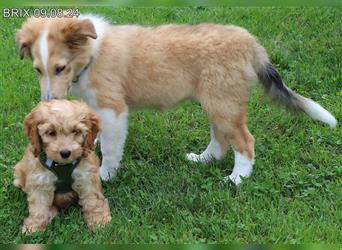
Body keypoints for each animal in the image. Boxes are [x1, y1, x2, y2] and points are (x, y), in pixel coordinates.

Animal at [13, 99, 111, 232]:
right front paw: (34, 226)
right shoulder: (40, 180)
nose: (65, 153)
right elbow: (39, 205)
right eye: (51, 133)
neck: (61, 165)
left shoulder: (87, 176)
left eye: (75, 131)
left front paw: (99, 221)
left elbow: (93, 200)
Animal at [16, 14, 336, 185]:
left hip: (224, 103)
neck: (92, 54)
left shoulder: (113, 108)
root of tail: (252, 44)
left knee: (245, 142)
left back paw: (237, 179)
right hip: (217, 102)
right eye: (37, 70)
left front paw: (105, 174)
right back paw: (203, 159)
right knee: (220, 139)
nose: (47, 103)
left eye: (60, 68)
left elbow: (110, 146)